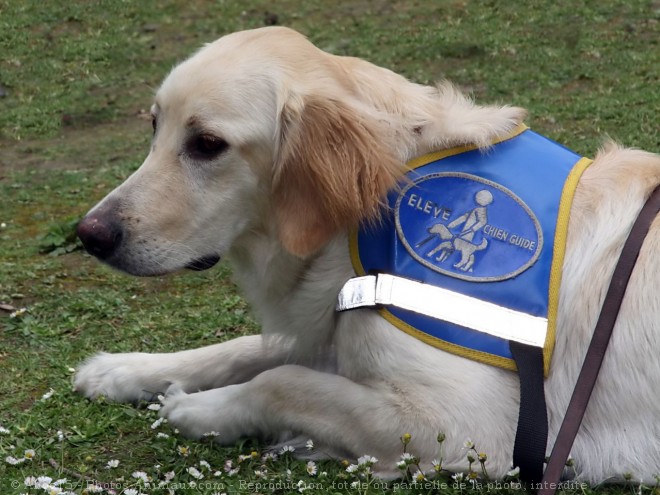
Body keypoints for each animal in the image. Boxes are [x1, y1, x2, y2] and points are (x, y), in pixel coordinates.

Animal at [73, 27, 660, 484]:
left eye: (207, 143)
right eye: (155, 125)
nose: (89, 233)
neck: (368, 217)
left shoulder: (477, 425)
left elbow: (282, 382)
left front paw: (197, 409)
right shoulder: (326, 326)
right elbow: (242, 350)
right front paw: (122, 370)